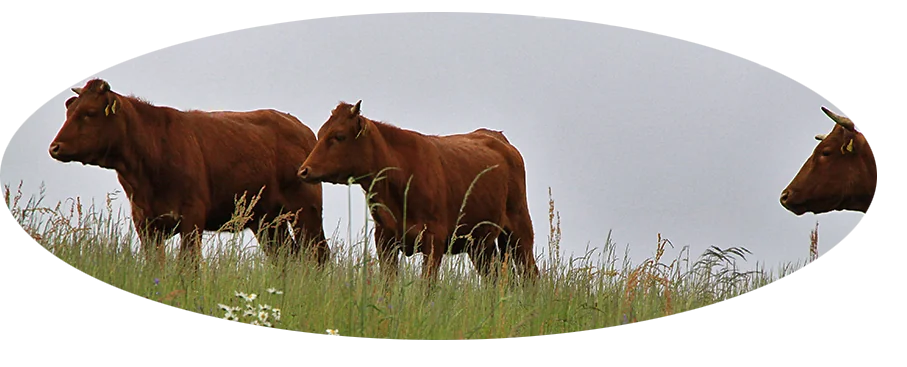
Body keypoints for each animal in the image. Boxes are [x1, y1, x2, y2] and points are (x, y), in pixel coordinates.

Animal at [48, 78, 332, 268]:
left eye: (89, 113)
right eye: (69, 111)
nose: (55, 147)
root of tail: (298, 125)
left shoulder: (192, 216)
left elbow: (189, 265)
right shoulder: (144, 222)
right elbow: (156, 265)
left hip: (305, 211)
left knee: (318, 254)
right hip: (267, 220)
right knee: (286, 256)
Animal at [298, 100, 540, 282]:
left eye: (338, 136)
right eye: (320, 134)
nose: (303, 170)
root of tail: (497, 138)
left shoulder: (435, 240)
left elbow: (427, 288)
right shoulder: (384, 238)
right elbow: (388, 284)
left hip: (519, 229)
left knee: (531, 275)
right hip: (480, 242)